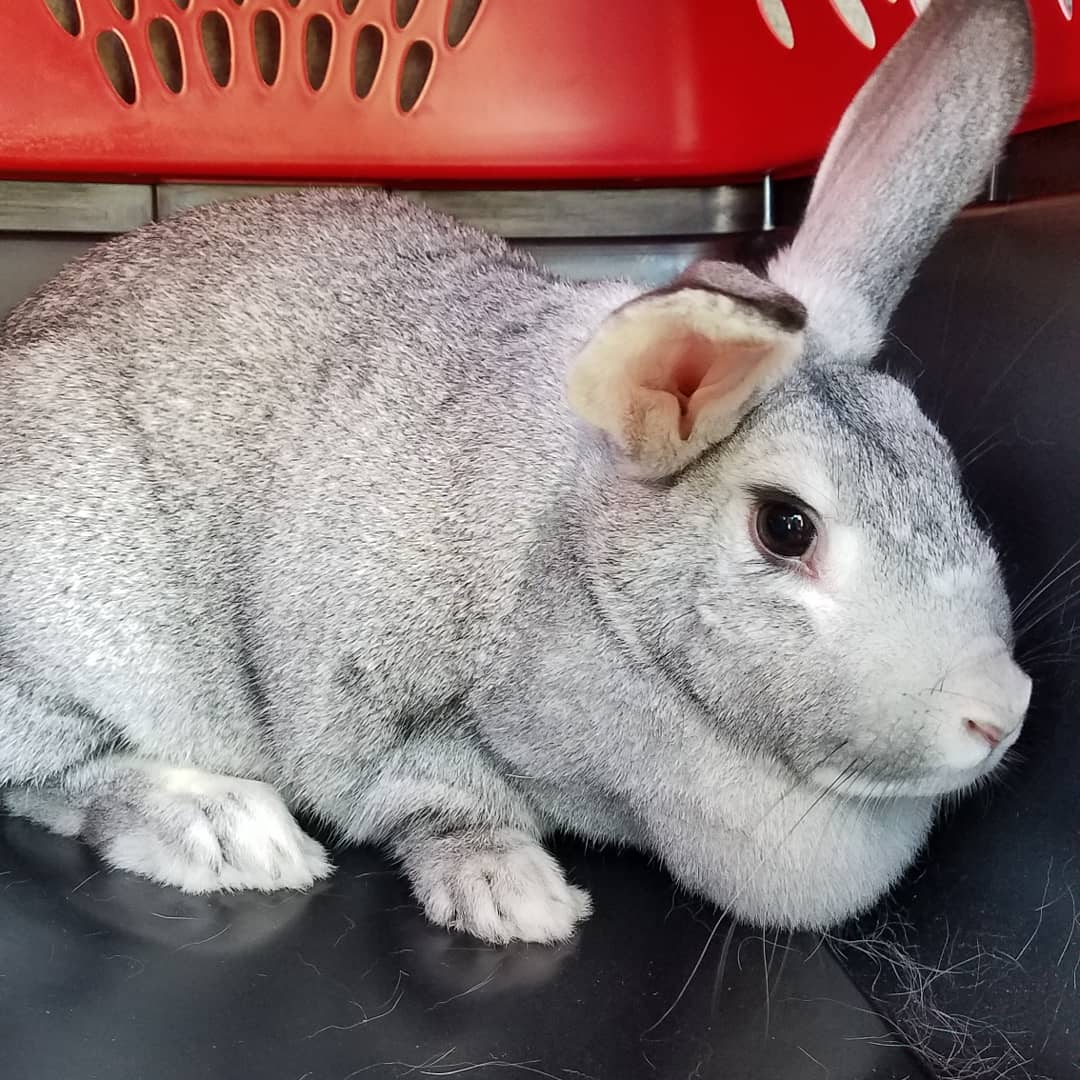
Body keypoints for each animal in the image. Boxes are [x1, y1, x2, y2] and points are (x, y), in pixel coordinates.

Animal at [0, 0, 1034, 944]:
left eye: (941, 463)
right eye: (787, 525)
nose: (1004, 711)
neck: (580, 563)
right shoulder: (378, 709)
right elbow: (439, 799)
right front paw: (520, 899)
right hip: (84, 636)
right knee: (54, 778)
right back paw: (230, 830)